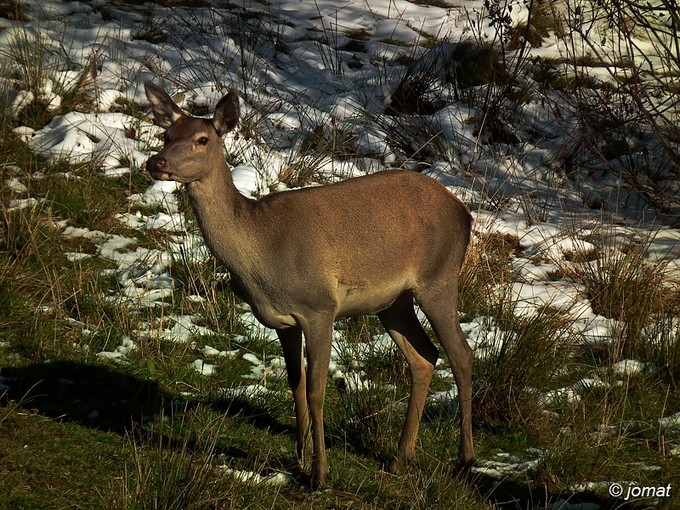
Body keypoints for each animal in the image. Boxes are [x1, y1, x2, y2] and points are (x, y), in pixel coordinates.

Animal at [142, 81, 472, 488]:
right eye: (167, 134)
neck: (262, 256)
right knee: (424, 357)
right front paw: (298, 456)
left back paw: (465, 460)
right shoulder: (282, 321)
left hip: (439, 277)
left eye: (202, 139)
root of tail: (465, 214)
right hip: (393, 301)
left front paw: (319, 472)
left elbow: (316, 391)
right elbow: (294, 383)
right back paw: (399, 459)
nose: (156, 162)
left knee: (461, 355)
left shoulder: (319, 307)